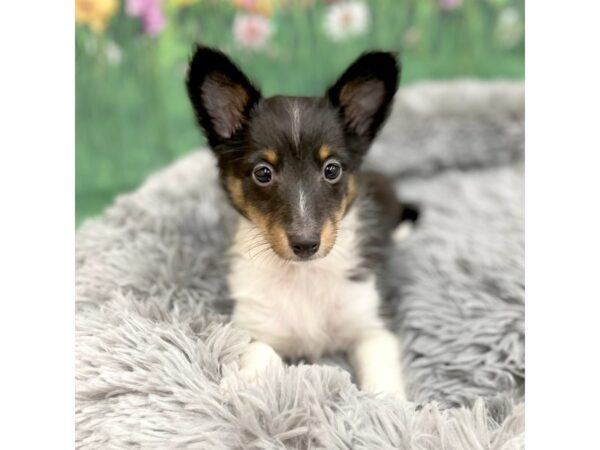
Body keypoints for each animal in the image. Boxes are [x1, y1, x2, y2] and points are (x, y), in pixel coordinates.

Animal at [186, 44, 418, 398]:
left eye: (331, 169)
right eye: (263, 173)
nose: (306, 244)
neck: (303, 276)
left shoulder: (371, 326)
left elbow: (382, 382)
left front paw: (390, 408)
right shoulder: (253, 326)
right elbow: (260, 352)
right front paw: (245, 383)